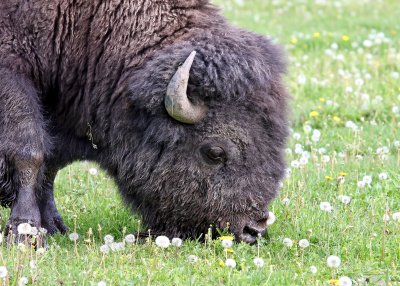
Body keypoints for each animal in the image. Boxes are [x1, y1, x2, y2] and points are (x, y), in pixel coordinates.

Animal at [0, 0, 288, 244]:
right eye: (215, 152)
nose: (253, 229)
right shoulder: (13, 76)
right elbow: (30, 153)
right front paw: (24, 233)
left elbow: (50, 164)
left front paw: (54, 227)